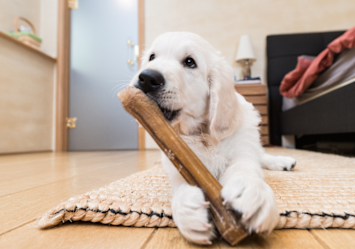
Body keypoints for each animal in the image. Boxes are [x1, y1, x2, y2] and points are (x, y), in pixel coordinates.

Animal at [129, 32, 296, 244]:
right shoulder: (177, 159)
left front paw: (251, 191)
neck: (202, 134)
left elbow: (245, 168)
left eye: (190, 62)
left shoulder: (242, 150)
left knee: (261, 155)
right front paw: (187, 210)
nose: (147, 78)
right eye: (152, 57)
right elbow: (180, 184)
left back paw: (283, 161)